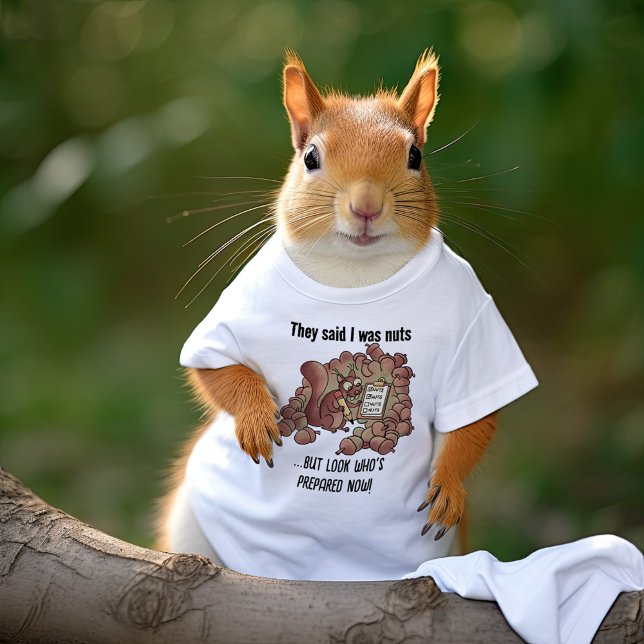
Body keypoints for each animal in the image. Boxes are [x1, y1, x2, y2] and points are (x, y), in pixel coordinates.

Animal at [155, 50, 517, 572]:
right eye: (311, 158)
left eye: (415, 156)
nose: (366, 205)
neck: (355, 276)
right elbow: (219, 373)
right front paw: (256, 419)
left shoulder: (471, 308)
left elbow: (474, 422)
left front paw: (448, 485)